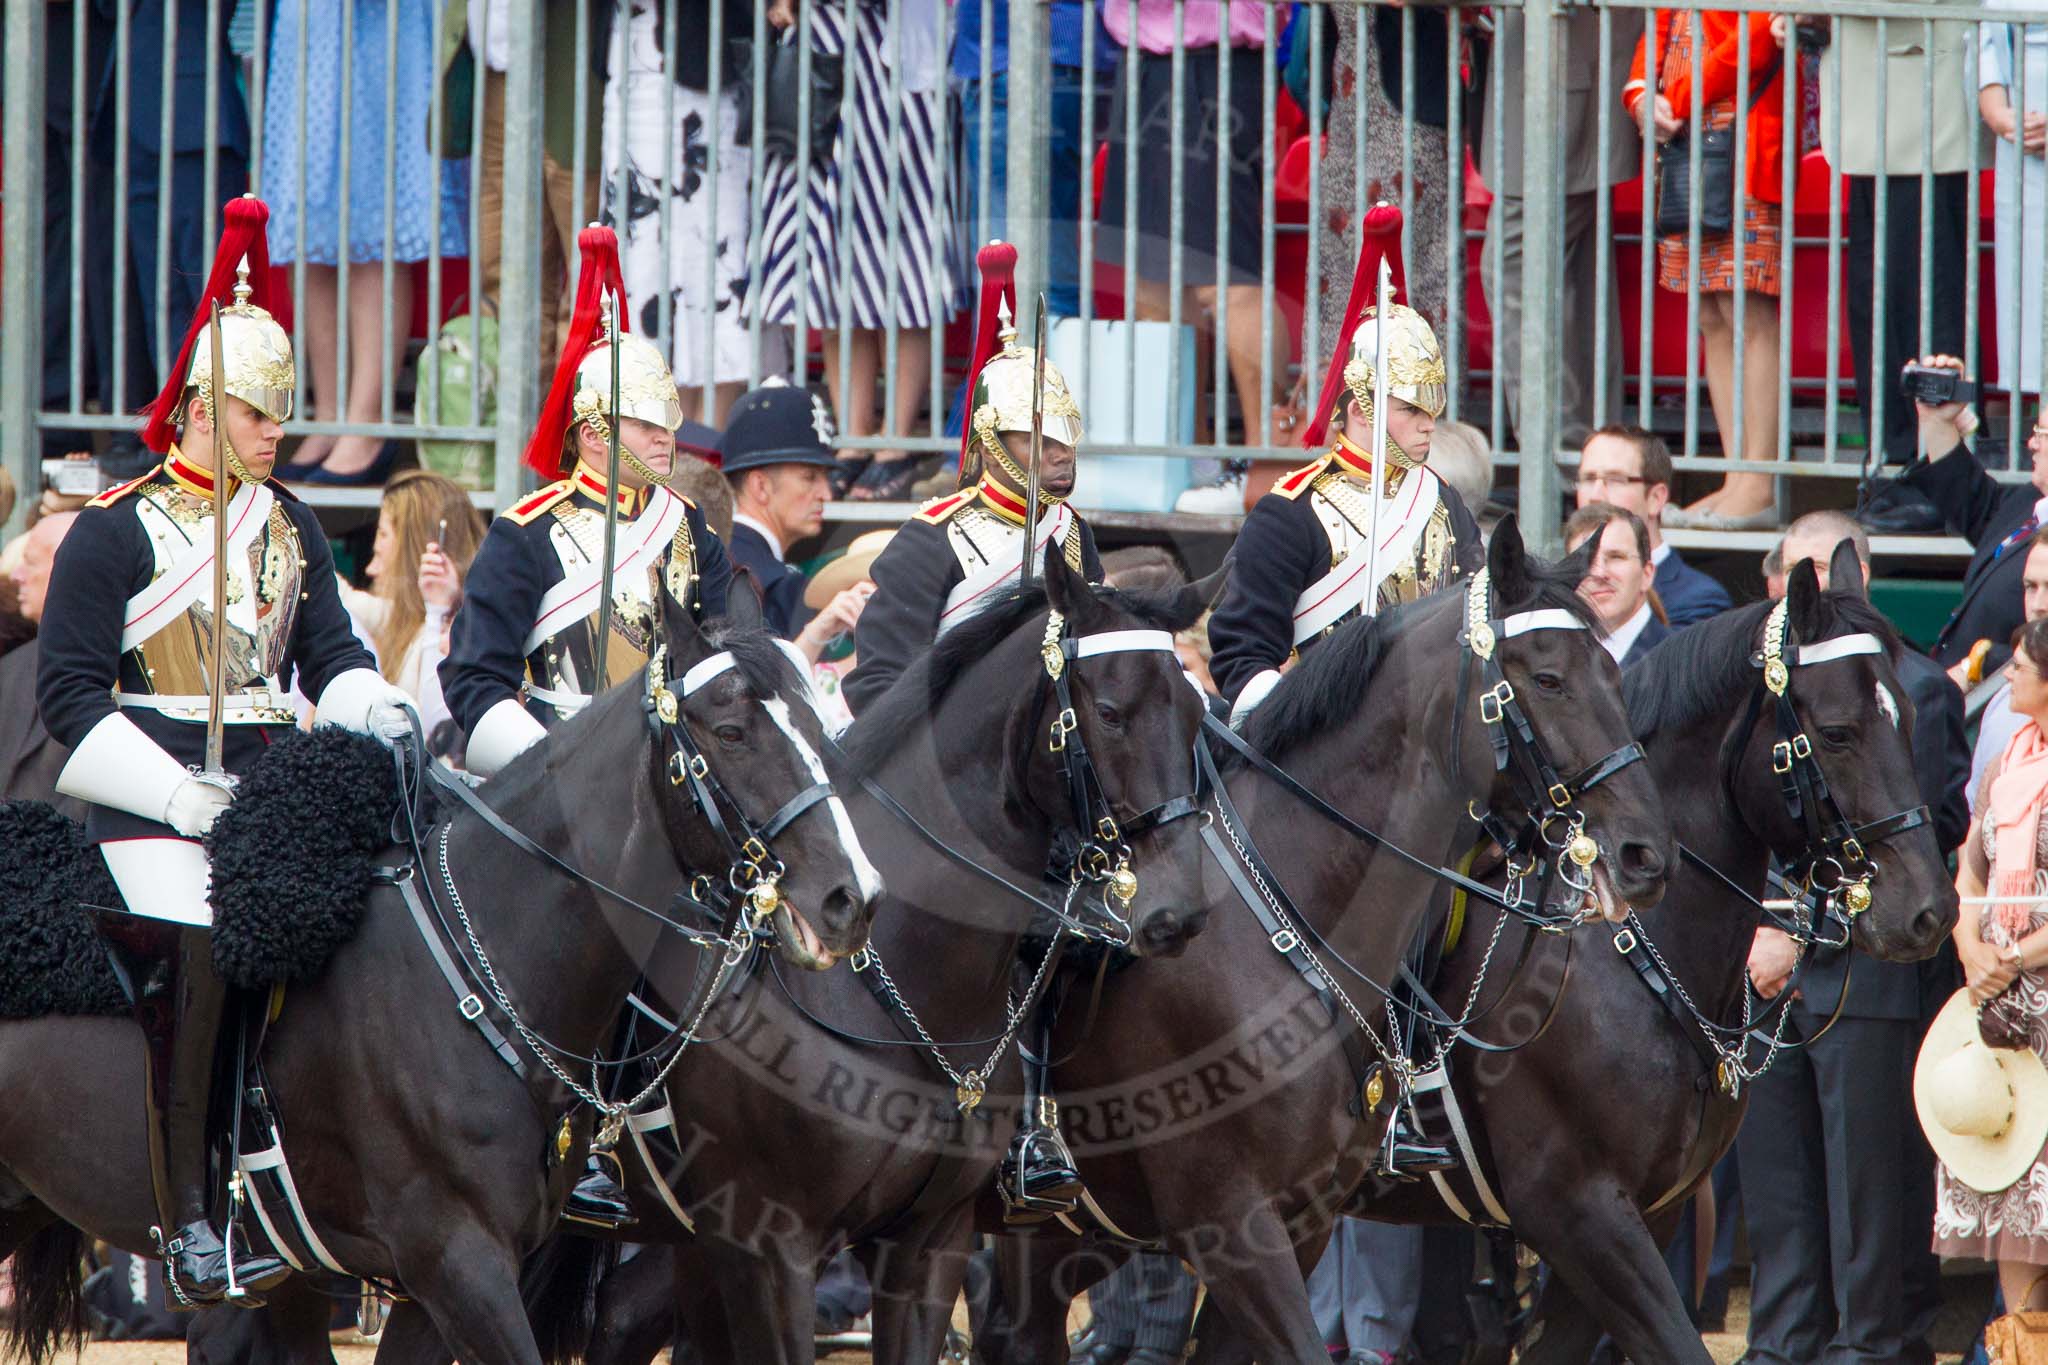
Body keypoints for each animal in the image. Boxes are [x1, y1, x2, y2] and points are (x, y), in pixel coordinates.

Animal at [0, 597, 872, 1365]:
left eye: (821, 728)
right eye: (730, 731)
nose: (850, 899)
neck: (480, 965)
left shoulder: (441, 1286)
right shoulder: (459, 1261)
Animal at [1335, 548, 1957, 1365]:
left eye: (1911, 718)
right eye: (1837, 732)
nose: (1929, 910)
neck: (1622, 953)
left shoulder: (1644, 1216)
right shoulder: (1579, 1210)